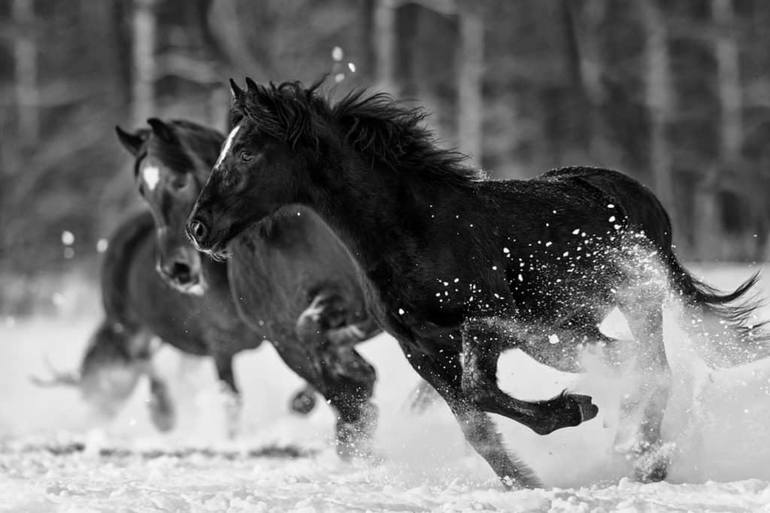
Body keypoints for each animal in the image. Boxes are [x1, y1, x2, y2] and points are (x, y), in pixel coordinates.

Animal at [188, 78, 768, 486]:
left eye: (247, 150)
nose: (199, 226)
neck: (416, 233)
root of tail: (632, 192)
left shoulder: (488, 326)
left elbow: (481, 391)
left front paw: (573, 410)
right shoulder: (422, 352)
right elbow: (476, 427)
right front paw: (526, 480)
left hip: (619, 309)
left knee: (652, 368)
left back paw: (645, 458)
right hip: (570, 331)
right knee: (630, 362)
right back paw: (635, 446)